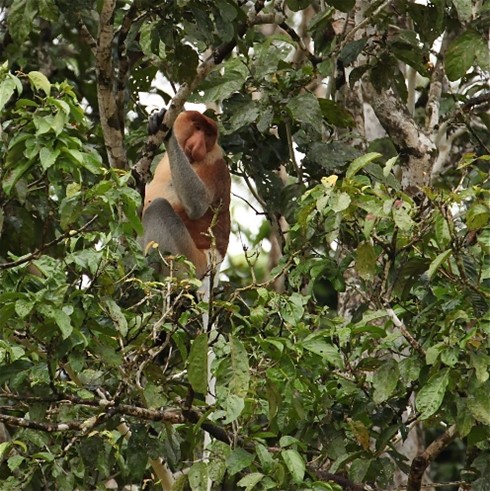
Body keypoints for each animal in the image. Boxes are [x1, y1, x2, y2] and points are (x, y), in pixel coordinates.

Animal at [141, 112, 231, 280]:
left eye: (208, 135)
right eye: (198, 128)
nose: (199, 146)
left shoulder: (215, 165)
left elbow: (198, 204)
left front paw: (168, 133)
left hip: (188, 263)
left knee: (158, 208)